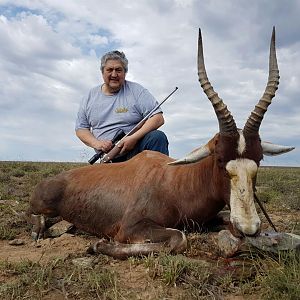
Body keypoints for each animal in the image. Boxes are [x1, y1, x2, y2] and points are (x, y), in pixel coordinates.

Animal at [27, 27, 294, 258]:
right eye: (219, 159)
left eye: (259, 159)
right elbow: (179, 238)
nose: (248, 228)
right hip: (40, 206)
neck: (176, 181)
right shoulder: (130, 227)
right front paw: (98, 245)